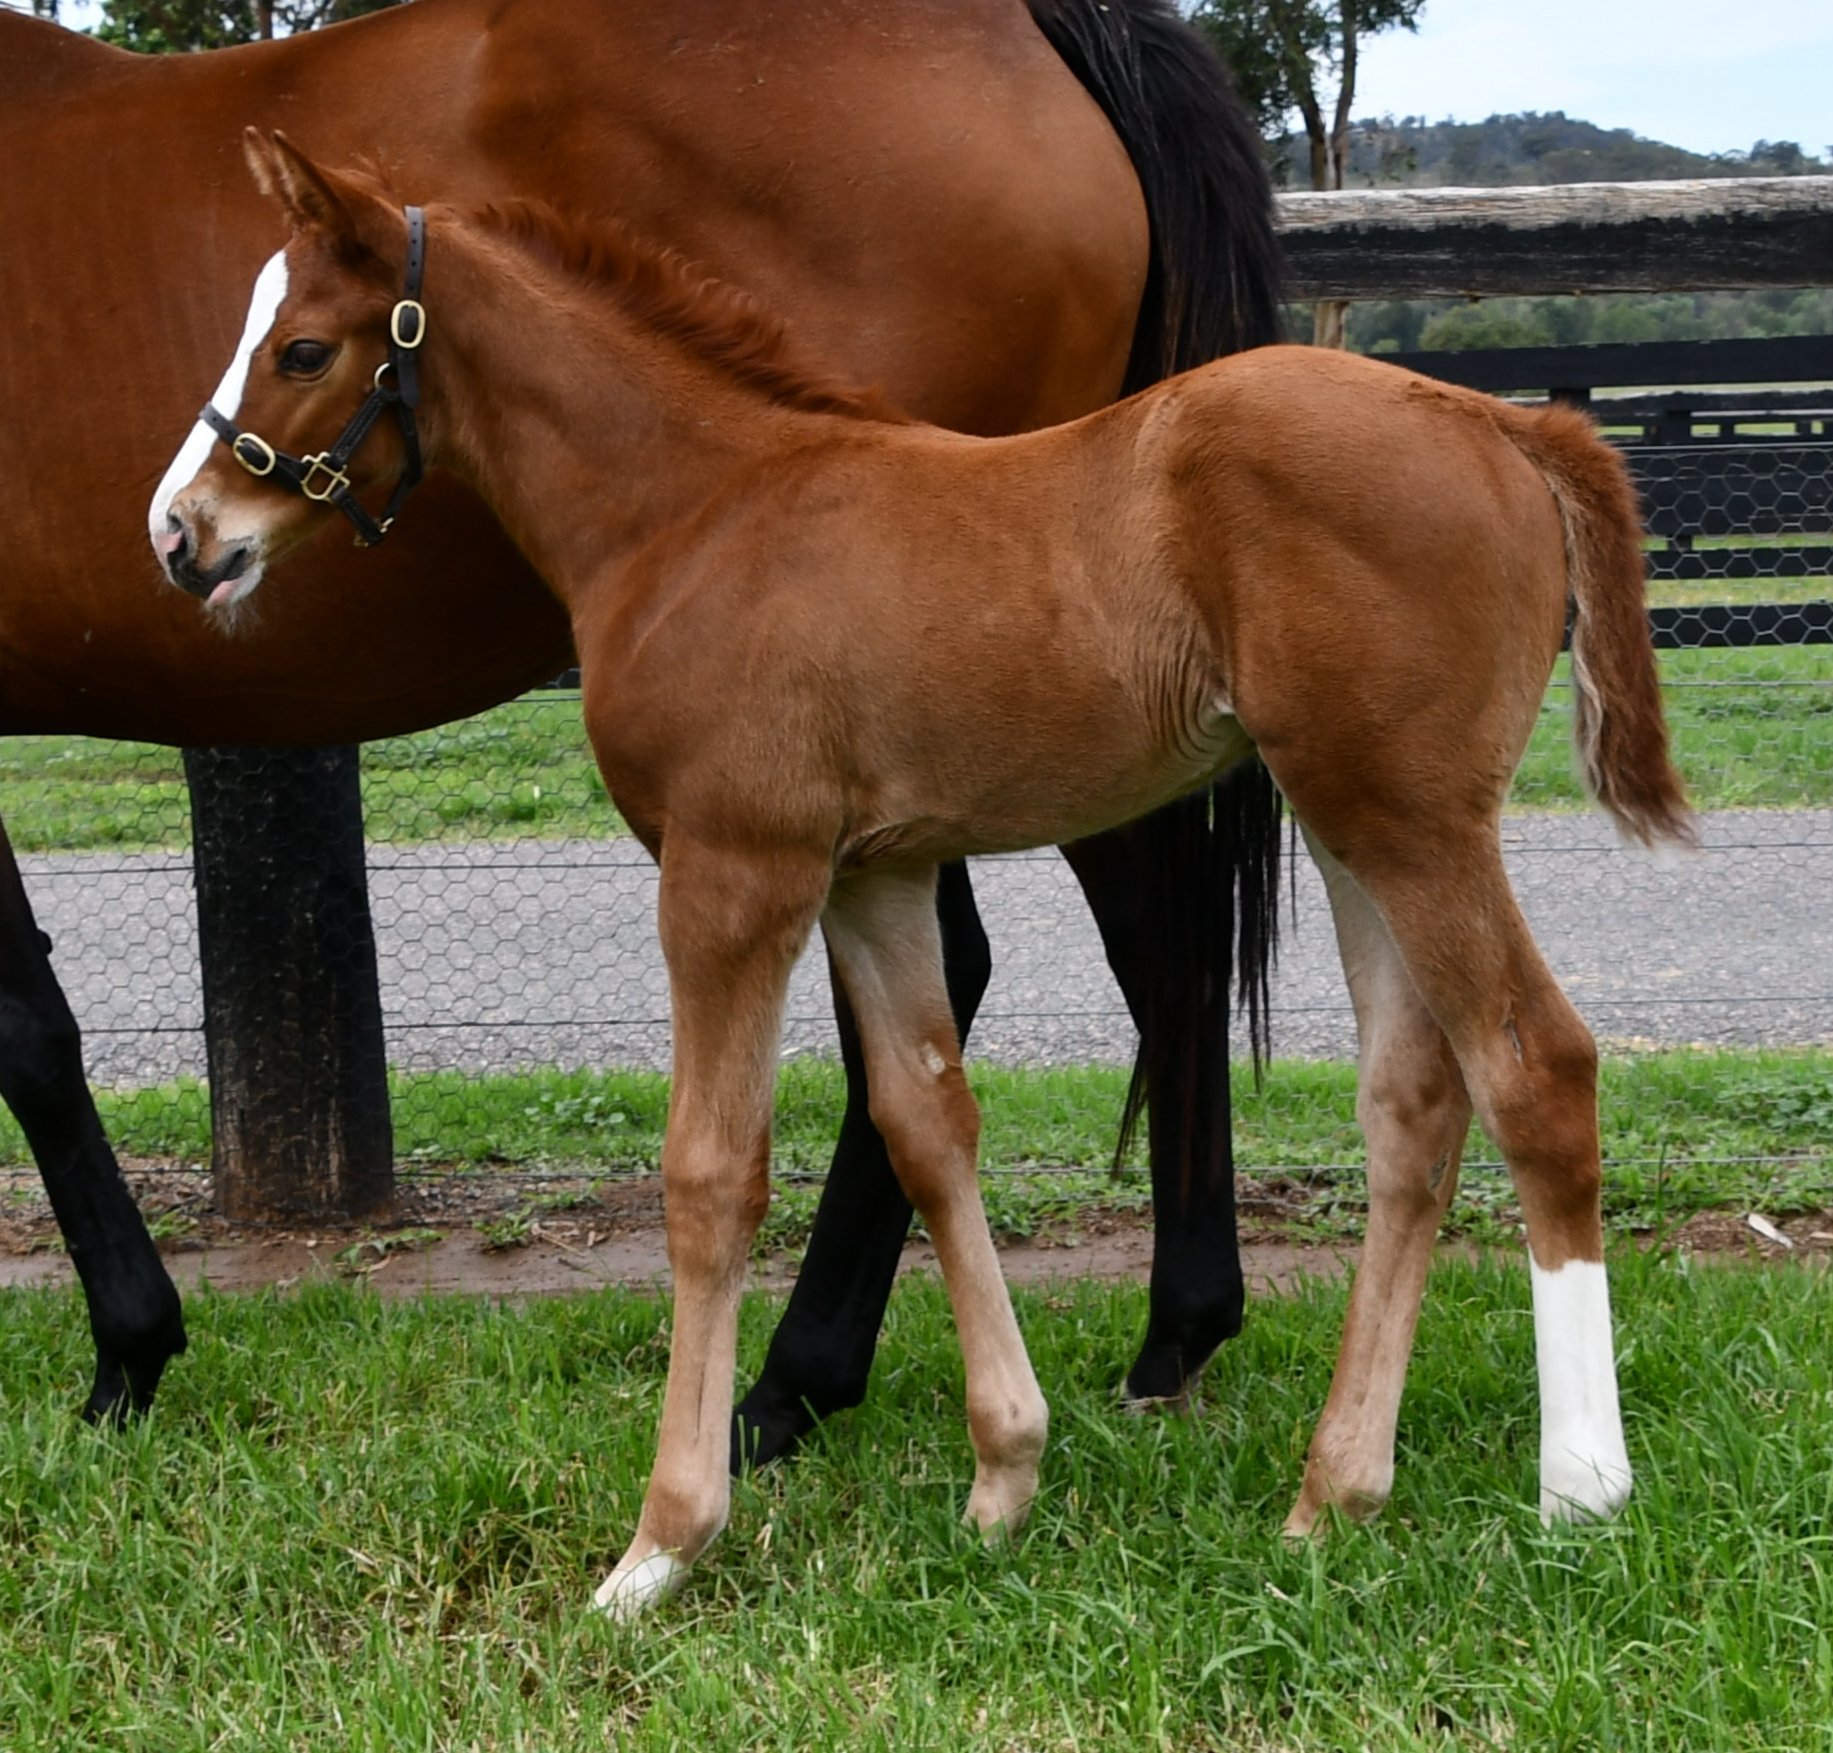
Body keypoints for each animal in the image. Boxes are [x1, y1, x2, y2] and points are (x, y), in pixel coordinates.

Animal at [153, 140, 1686, 1613]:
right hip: (1347, 812)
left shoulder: (733, 873)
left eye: (304, 349)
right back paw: (1333, 1497)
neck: (695, 512)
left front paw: (662, 1545)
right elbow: (927, 1126)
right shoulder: (870, 879)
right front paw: (1005, 1475)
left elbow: (710, 1174)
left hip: (1412, 815)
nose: (181, 534)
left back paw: (1580, 1491)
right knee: (1413, 1102)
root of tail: (1508, 421)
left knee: (1535, 1065)